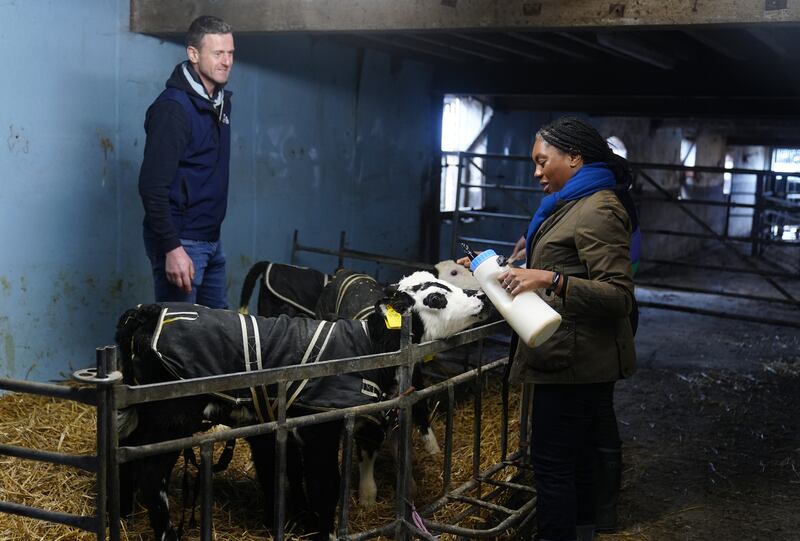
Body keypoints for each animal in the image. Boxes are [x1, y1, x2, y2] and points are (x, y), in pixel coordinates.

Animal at [115, 272, 490, 536]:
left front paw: (295, 519)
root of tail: (149, 313)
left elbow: (288, 475)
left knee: (128, 452)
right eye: (436, 297)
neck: (370, 347)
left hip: (147, 415)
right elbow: (324, 485)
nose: (481, 296)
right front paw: (323, 530)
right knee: (151, 475)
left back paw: (124, 512)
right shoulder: (319, 430)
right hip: (171, 417)